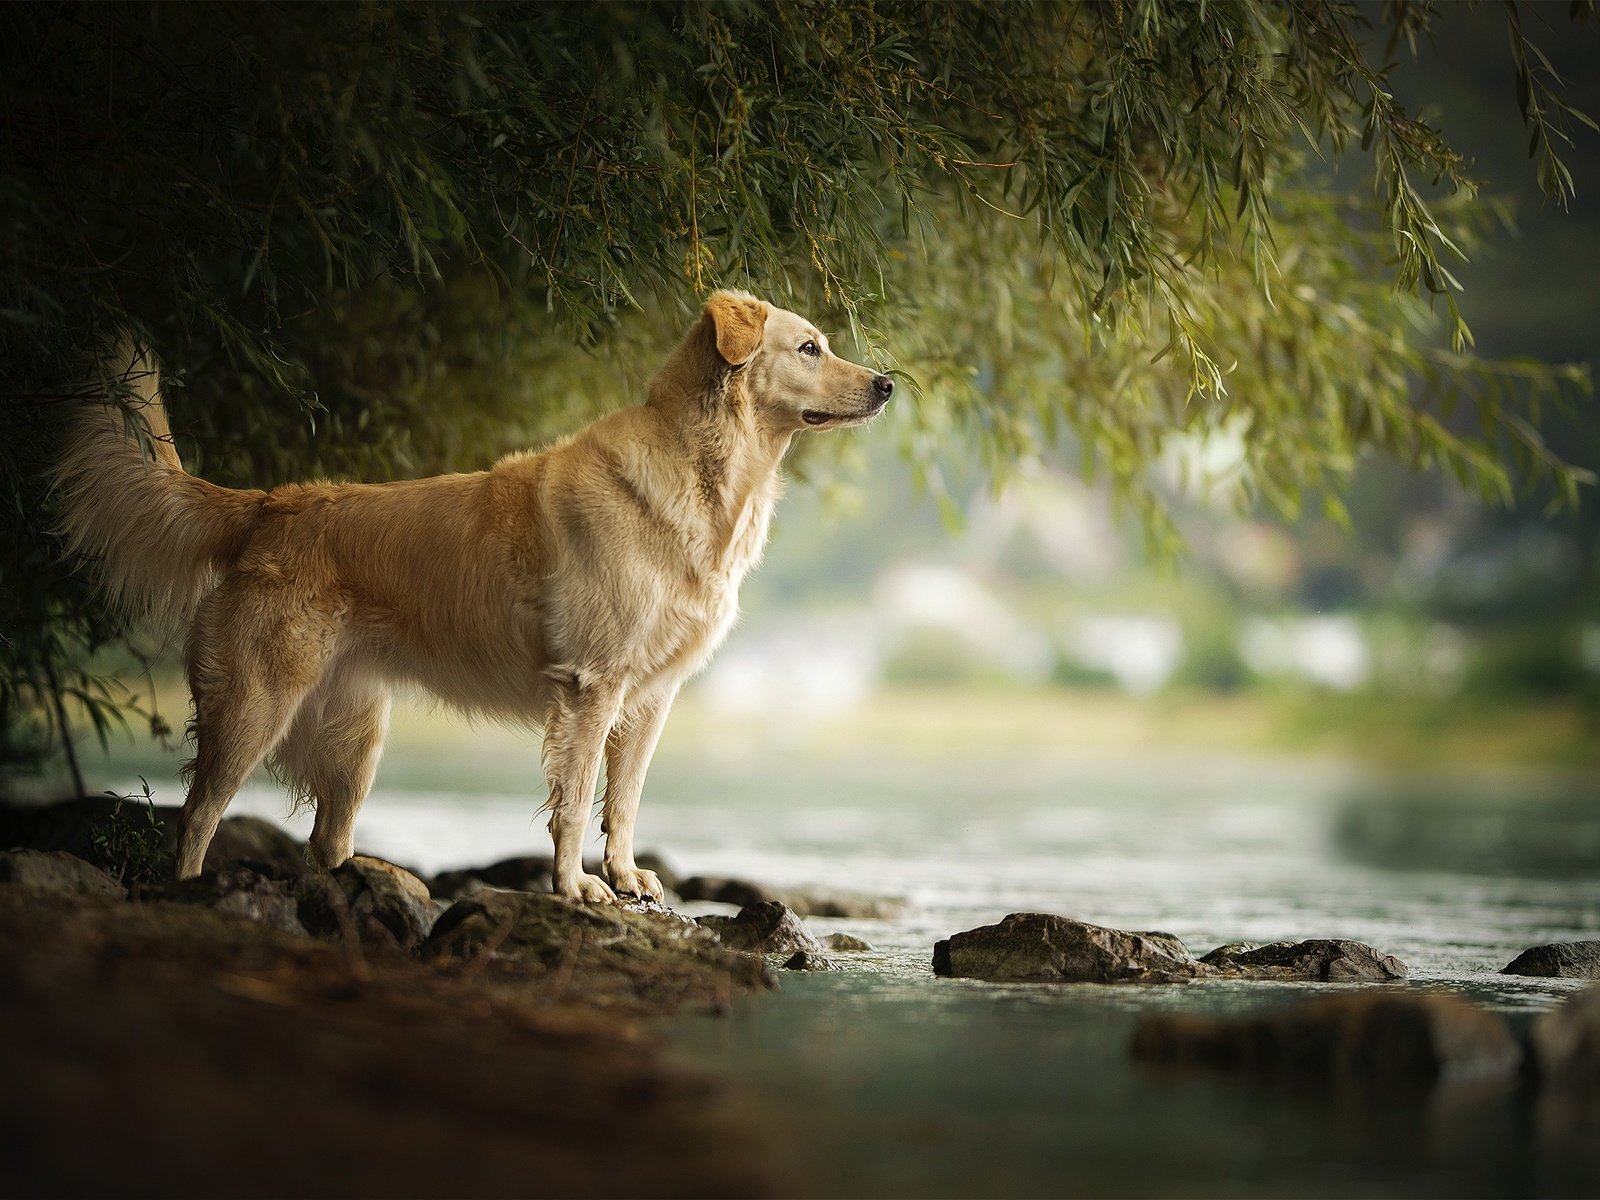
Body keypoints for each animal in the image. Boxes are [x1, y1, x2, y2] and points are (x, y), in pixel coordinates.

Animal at [56, 294, 896, 902]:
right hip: (254, 703)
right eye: (810, 347)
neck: (705, 476)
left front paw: (626, 877)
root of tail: (269, 504)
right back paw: (192, 892)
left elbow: (622, 801)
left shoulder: (650, 698)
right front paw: (577, 888)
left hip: (356, 735)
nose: (888, 384)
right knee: (197, 814)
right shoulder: (590, 689)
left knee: (327, 842)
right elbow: (575, 800)